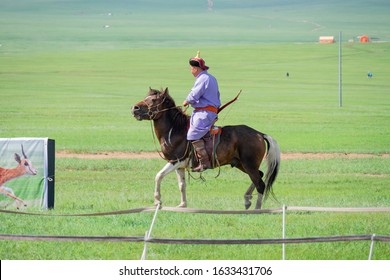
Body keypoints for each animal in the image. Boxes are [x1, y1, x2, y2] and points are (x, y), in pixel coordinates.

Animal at [131, 88, 280, 210]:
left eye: (153, 100)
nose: (135, 108)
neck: (174, 130)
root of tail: (259, 134)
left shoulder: (175, 161)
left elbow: (159, 176)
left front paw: (157, 201)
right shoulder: (180, 166)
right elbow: (181, 185)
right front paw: (182, 205)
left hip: (249, 165)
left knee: (260, 184)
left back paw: (257, 208)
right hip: (241, 164)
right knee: (259, 175)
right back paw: (247, 200)